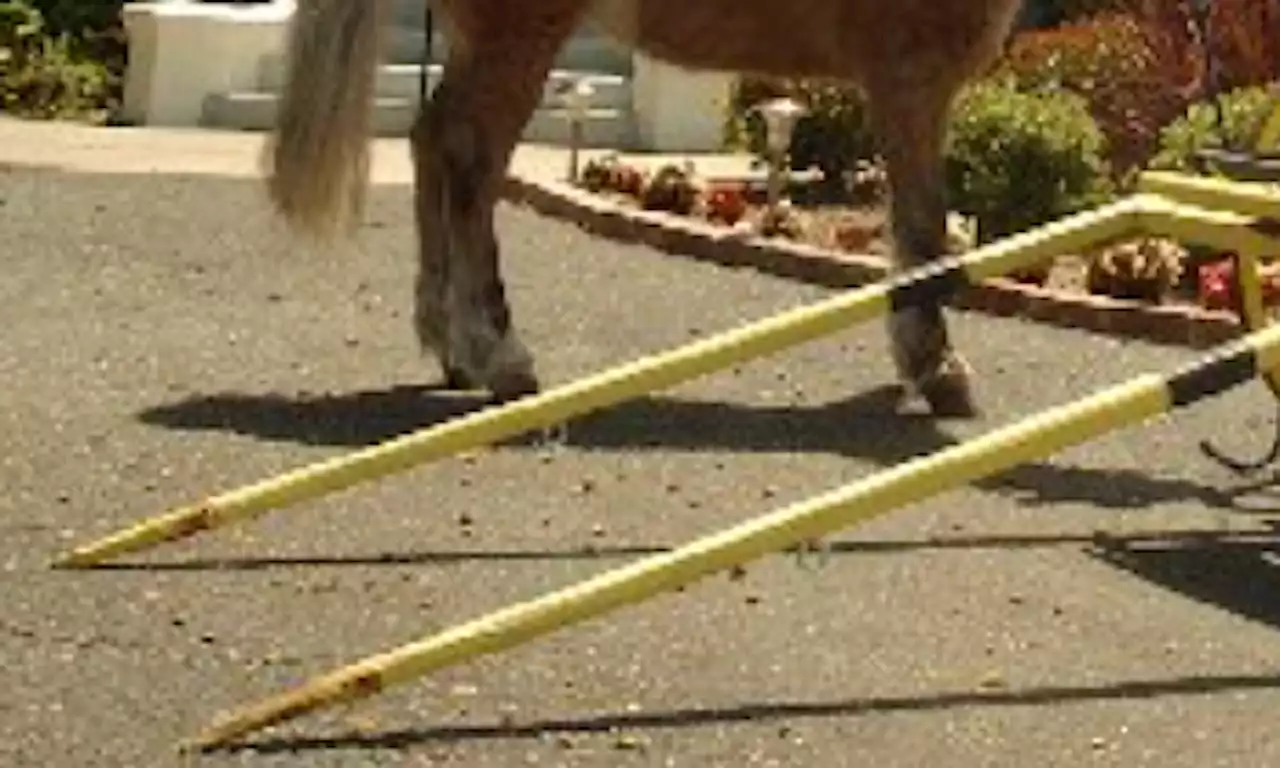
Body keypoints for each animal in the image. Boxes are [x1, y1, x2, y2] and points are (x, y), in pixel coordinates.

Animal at [267, 0, 1018, 417]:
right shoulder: (910, 77)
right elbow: (922, 228)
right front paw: (939, 372)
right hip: (519, 36)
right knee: (467, 157)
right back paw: (499, 354)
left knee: (431, 143)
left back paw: (451, 349)